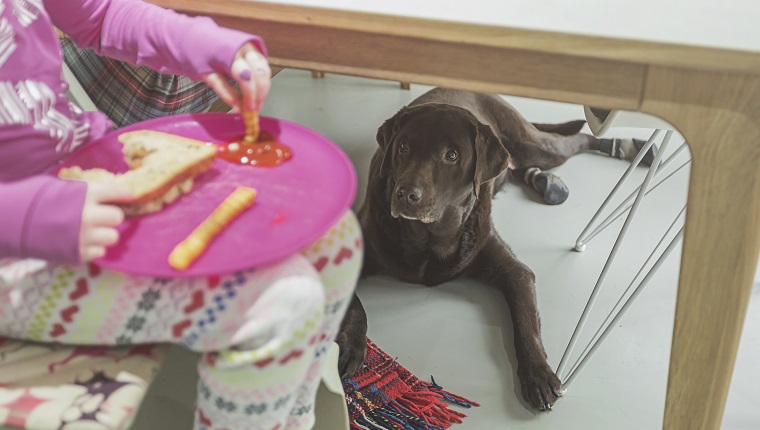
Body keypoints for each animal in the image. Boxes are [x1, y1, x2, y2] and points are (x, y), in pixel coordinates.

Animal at [338, 86, 652, 410]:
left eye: (452, 156)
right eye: (403, 147)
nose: (405, 194)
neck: (428, 239)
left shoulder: (515, 270)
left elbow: (525, 321)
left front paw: (538, 373)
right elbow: (354, 306)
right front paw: (352, 345)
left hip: (537, 147)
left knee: (577, 139)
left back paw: (627, 146)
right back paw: (547, 181)